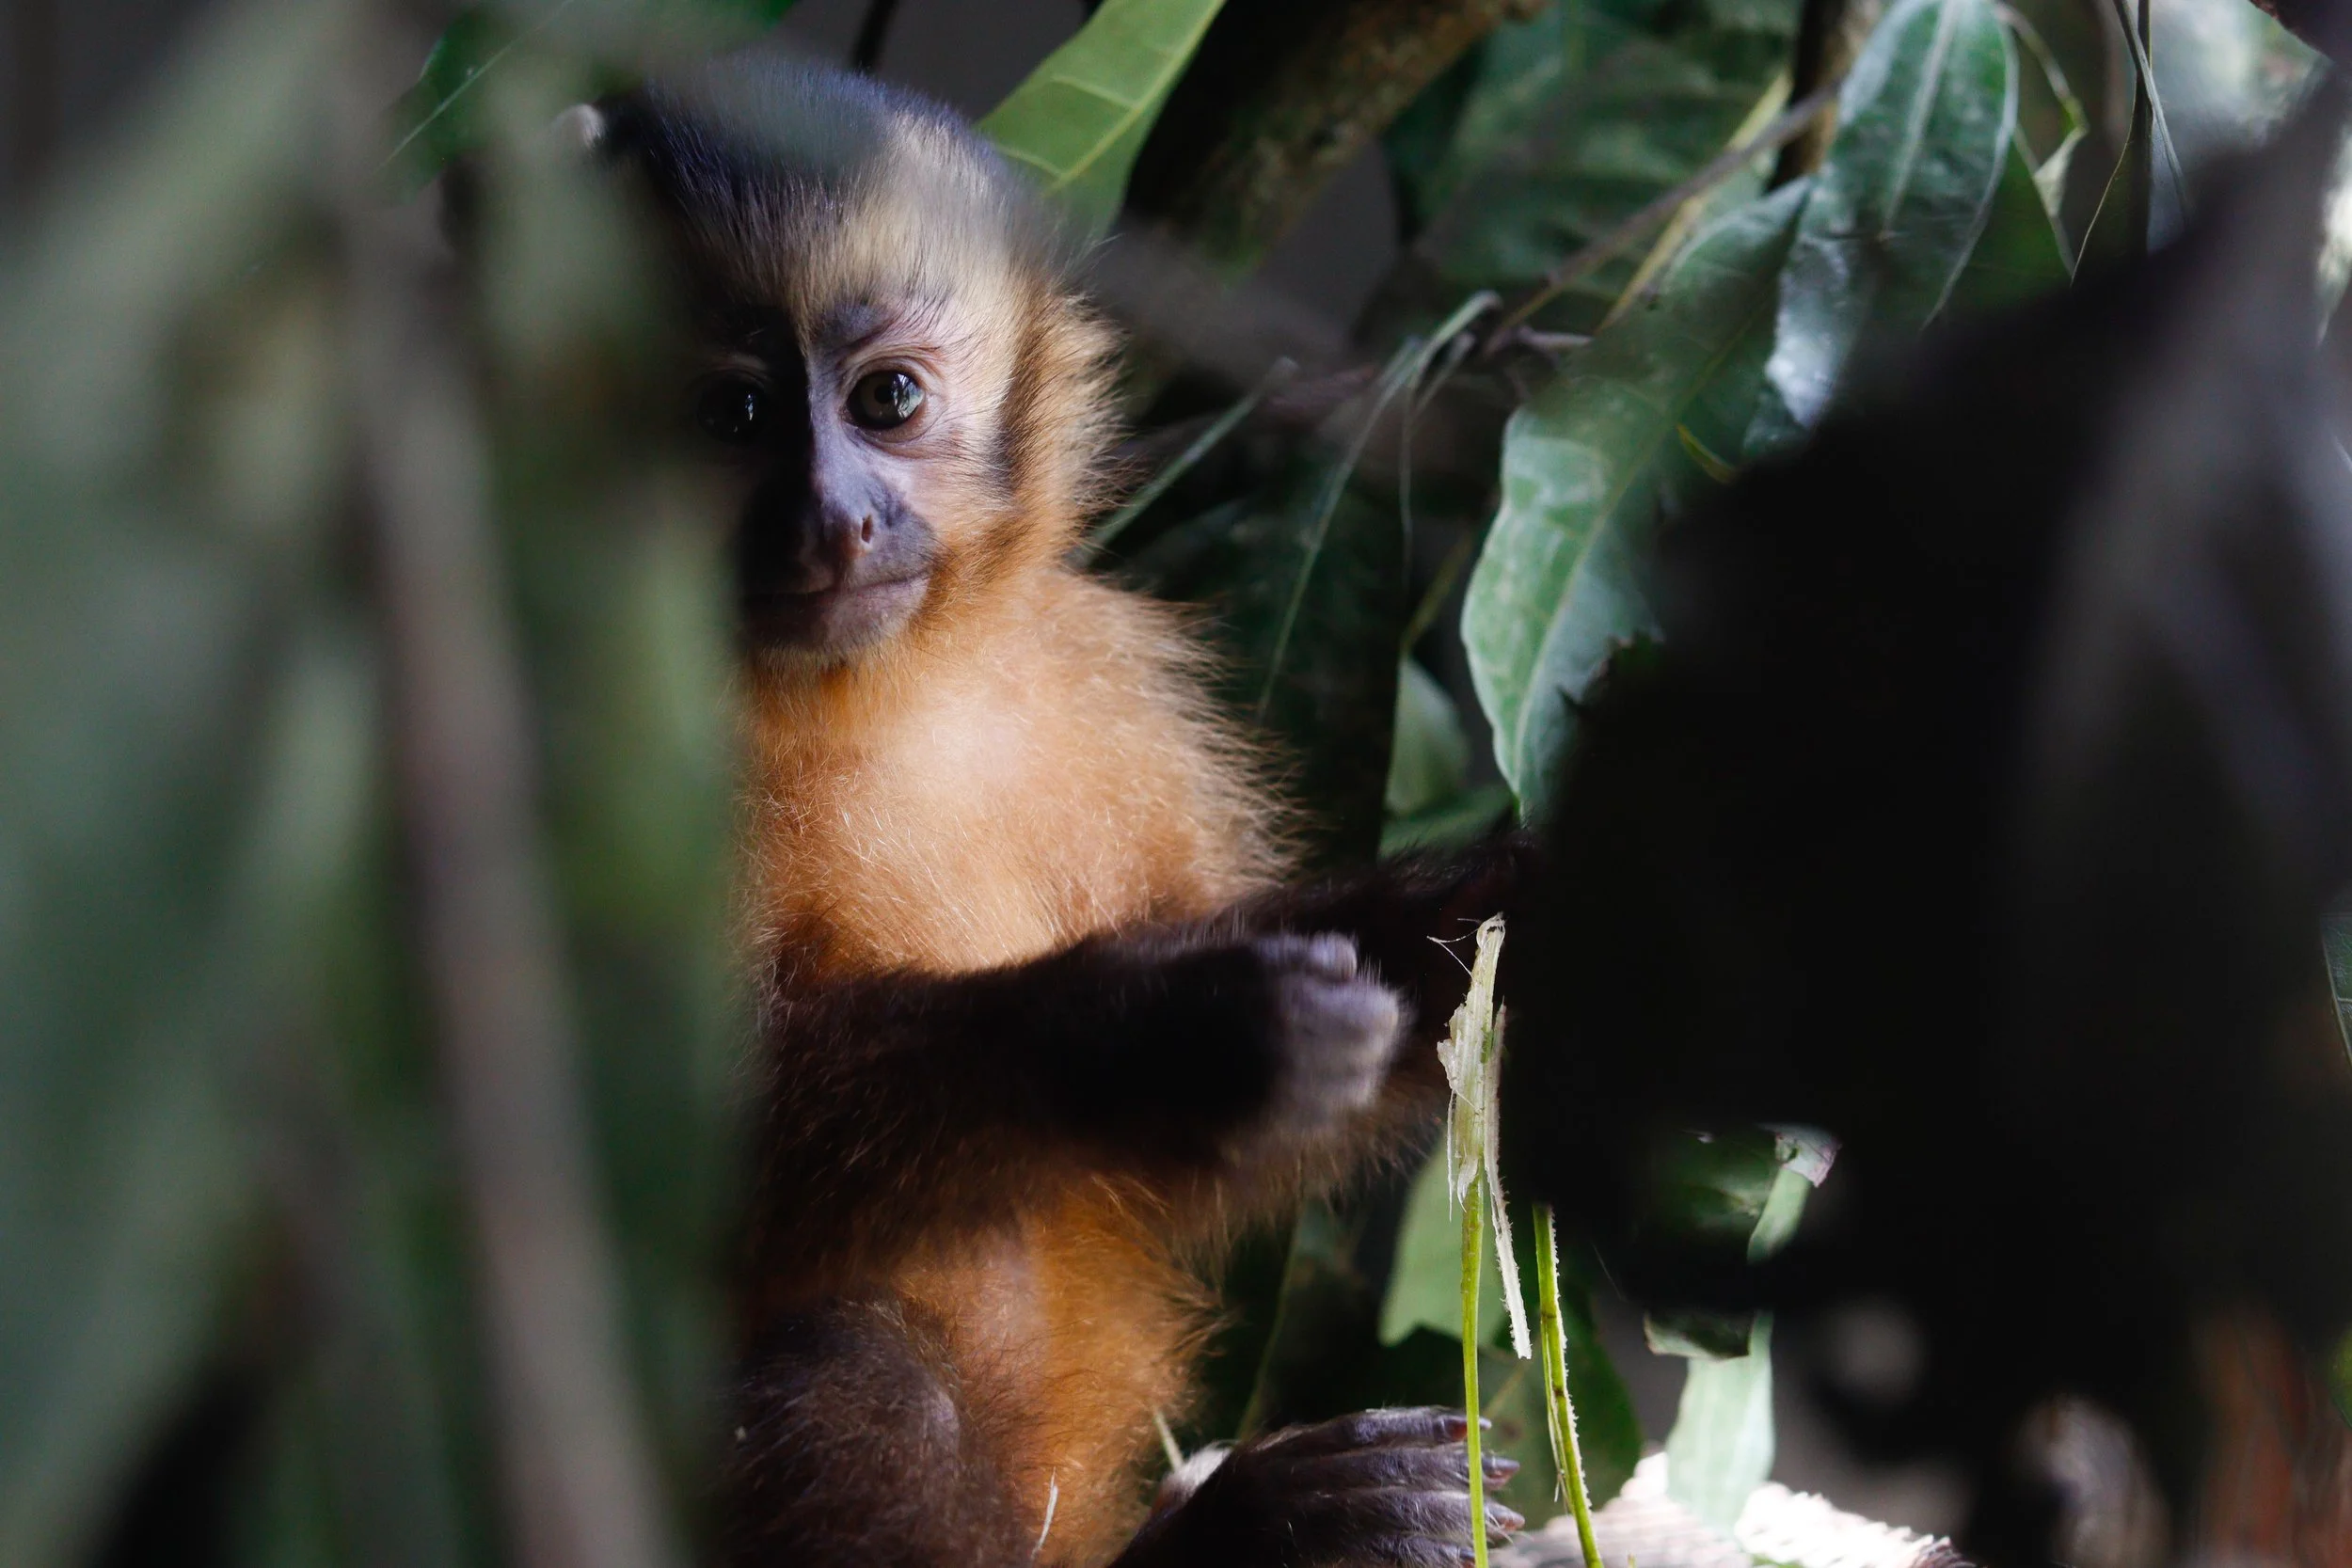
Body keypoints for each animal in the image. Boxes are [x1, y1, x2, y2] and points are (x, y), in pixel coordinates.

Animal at [570, 57, 1530, 1568]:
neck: (867, 698)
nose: (835, 520)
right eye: (733, 420)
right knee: (855, 1378)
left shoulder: (1101, 677)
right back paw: (1236, 1539)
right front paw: (1165, 1032)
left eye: (890, 397)